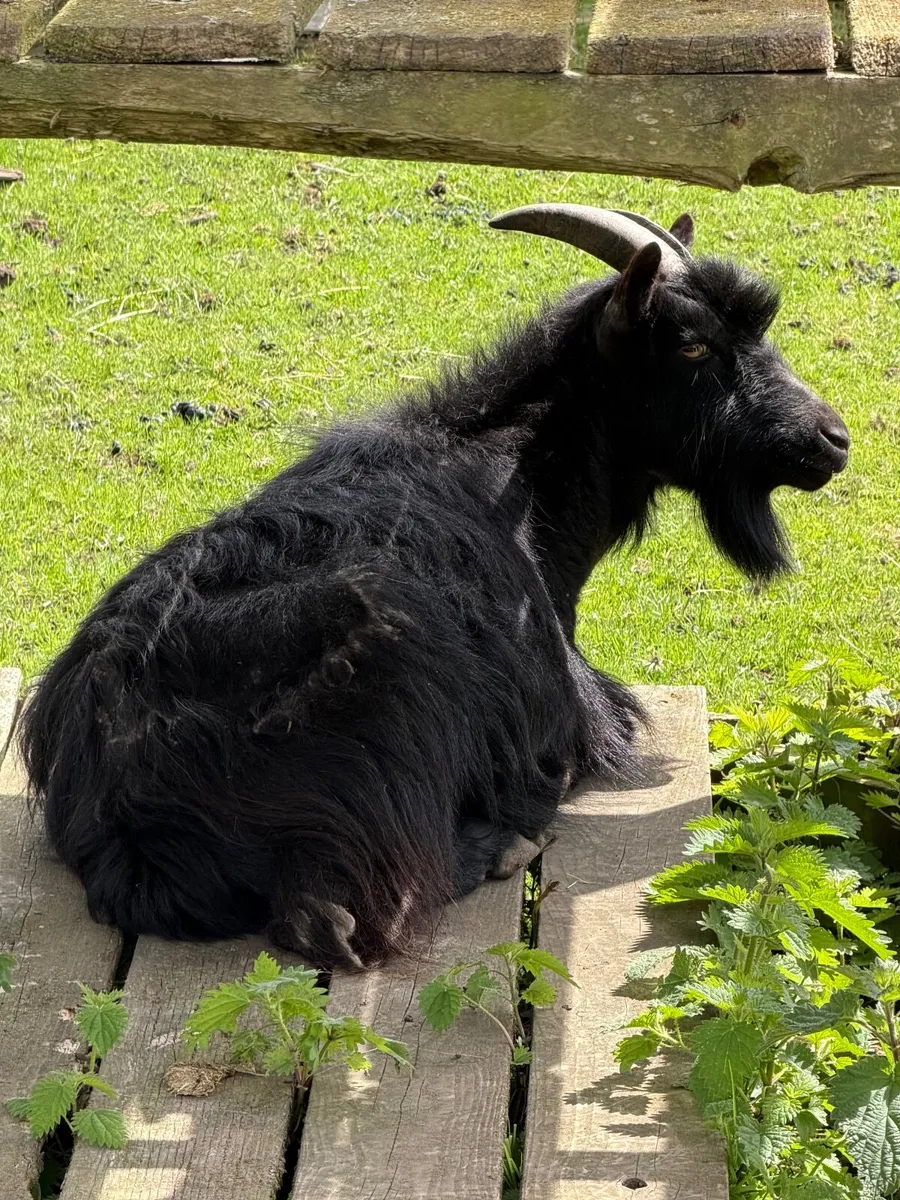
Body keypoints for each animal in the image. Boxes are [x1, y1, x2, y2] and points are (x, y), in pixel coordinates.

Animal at [20, 206, 850, 969]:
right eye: (693, 342)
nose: (831, 439)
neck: (516, 477)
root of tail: (129, 801)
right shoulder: (570, 706)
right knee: (341, 916)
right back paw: (507, 842)